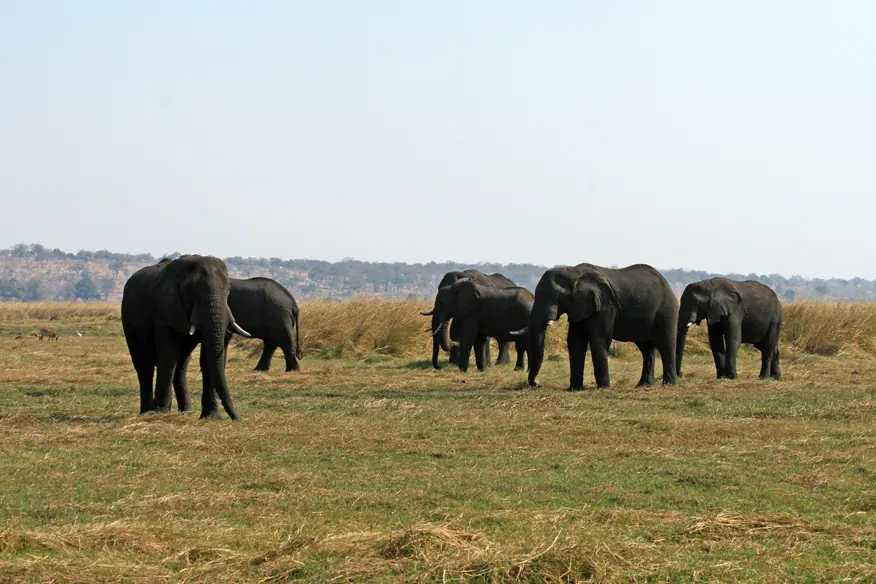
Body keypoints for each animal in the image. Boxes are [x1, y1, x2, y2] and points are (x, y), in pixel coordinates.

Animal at [120, 255, 251, 420]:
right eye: (195, 293)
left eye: (228, 291)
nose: (238, 419)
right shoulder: (165, 309)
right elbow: (168, 357)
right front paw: (160, 413)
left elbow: (206, 360)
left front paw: (212, 418)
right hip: (128, 321)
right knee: (144, 367)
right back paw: (147, 412)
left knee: (181, 365)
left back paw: (186, 412)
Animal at [519, 263, 678, 390]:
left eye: (556, 296)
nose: (537, 384)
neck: (574, 272)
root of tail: (667, 283)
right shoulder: (579, 307)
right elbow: (575, 342)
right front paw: (575, 389)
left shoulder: (605, 306)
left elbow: (599, 340)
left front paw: (604, 388)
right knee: (646, 349)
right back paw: (643, 385)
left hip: (667, 310)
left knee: (665, 345)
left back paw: (668, 384)